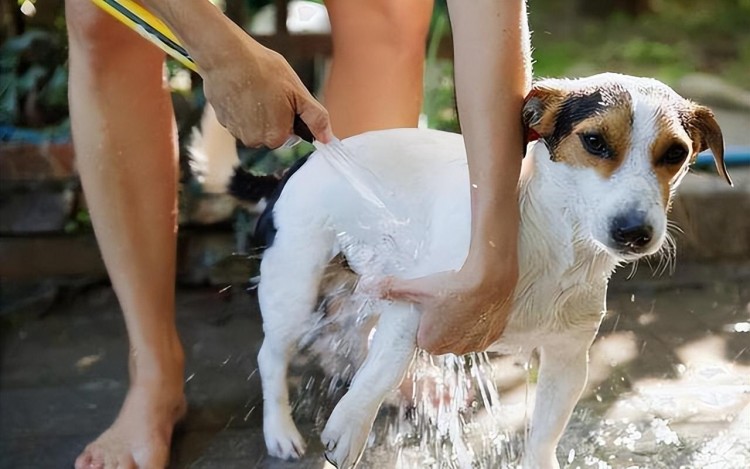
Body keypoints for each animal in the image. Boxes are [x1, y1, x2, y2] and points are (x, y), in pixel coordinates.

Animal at [194, 71, 736, 466]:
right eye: (595, 142)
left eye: (676, 153)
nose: (635, 232)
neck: (552, 241)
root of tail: (293, 169)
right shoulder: (417, 303)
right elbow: (383, 368)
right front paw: (351, 425)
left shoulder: (567, 360)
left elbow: (544, 436)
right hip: (295, 287)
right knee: (273, 357)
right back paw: (281, 431)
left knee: (345, 345)